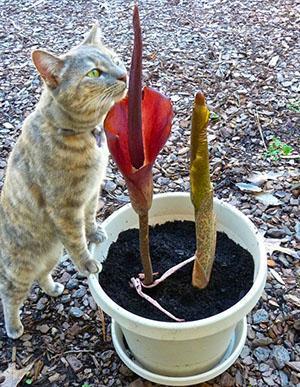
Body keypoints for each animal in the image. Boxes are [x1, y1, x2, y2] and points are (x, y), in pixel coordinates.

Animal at [0, 24, 126, 340]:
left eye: (116, 58)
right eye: (94, 73)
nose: (123, 74)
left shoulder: (91, 193)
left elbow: (90, 217)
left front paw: (95, 233)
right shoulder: (65, 208)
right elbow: (76, 239)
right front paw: (88, 263)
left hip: (52, 255)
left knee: (42, 274)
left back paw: (54, 288)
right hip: (19, 268)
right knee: (10, 294)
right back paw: (14, 328)